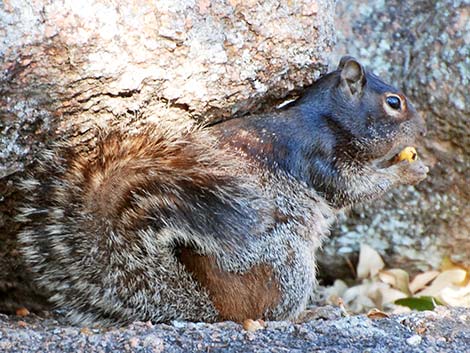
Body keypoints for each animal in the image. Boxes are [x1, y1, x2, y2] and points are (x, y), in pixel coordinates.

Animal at [16, 57, 428, 324]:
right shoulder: (319, 157)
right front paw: (410, 169)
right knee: (264, 314)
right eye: (394, 102)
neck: (324, 118)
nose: (422, 129)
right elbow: (353, 188)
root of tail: (211, 309)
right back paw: (310, 312)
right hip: (288, 262)